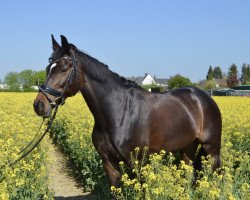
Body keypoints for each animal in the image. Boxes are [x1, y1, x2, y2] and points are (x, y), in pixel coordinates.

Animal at [32, 35, 221, 187]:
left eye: (64, 68)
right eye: (48, 68)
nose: (39, 105)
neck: (118, 114)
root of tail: (204, 97)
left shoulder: (138, 164)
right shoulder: (108, 163)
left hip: (212, 149)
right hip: (187, 148)